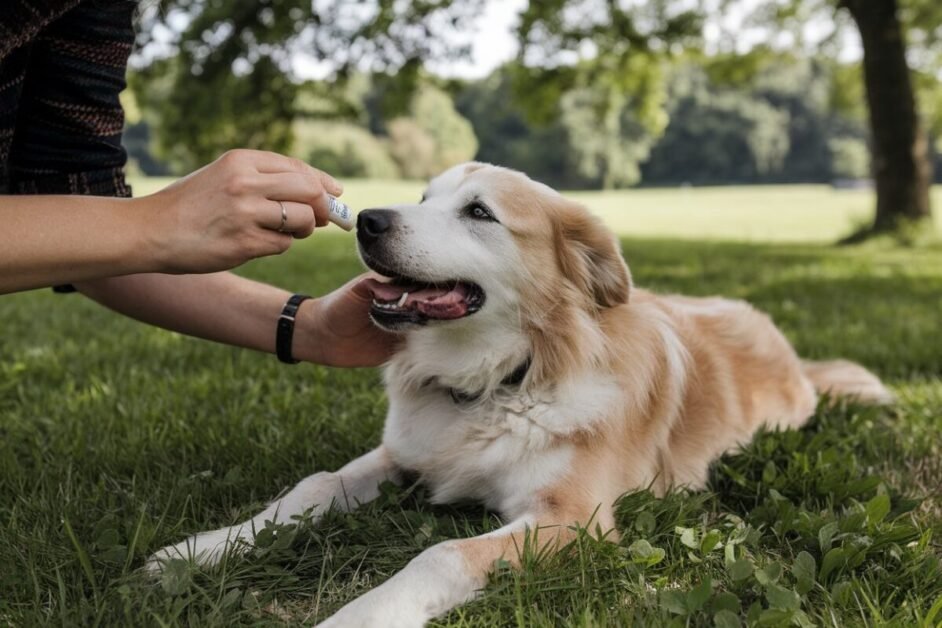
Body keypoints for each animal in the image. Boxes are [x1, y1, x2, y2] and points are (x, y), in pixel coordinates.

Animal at [148, 163, 892, 628]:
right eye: (423, 197)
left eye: (479, 212)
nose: (367, 219)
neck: (494, 383)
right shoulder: (403, 456)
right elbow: (312, 485)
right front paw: (204, 549)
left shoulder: (572, 520)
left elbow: (438, 554)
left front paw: (360, 614)